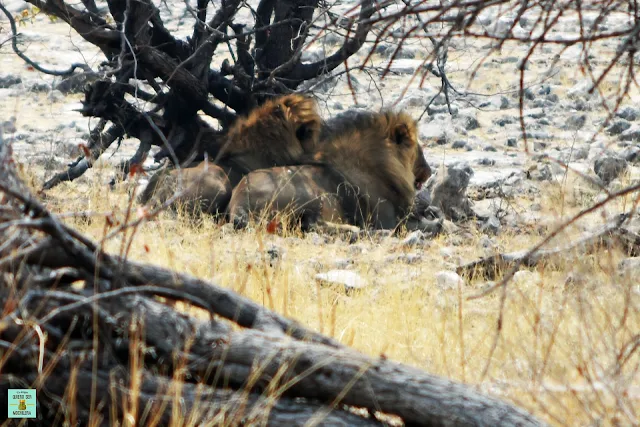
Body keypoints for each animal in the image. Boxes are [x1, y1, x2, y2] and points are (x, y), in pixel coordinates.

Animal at [225, 108, 440, 234]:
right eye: (418, 149)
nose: (430, 171)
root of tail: (238, 203)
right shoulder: (387, 218)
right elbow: (427, 223)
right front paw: (435, 222)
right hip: (313, 194)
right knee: (311, 224)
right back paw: (355, 230)